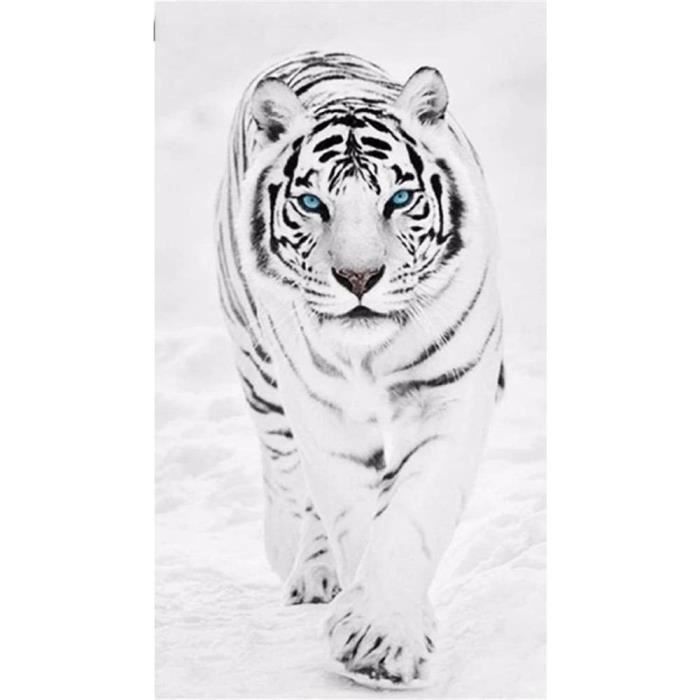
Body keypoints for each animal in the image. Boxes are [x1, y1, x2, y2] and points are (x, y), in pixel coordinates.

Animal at [216, 51, 504, 688]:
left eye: (397, 200)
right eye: (312, 204)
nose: (358, 278)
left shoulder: (451, 393)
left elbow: (412, 513)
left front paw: (383, 639)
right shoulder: (324, 412)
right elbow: (349, 509)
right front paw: (376, 633)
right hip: (259, 366)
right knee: (284, 470)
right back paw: (298, 561)